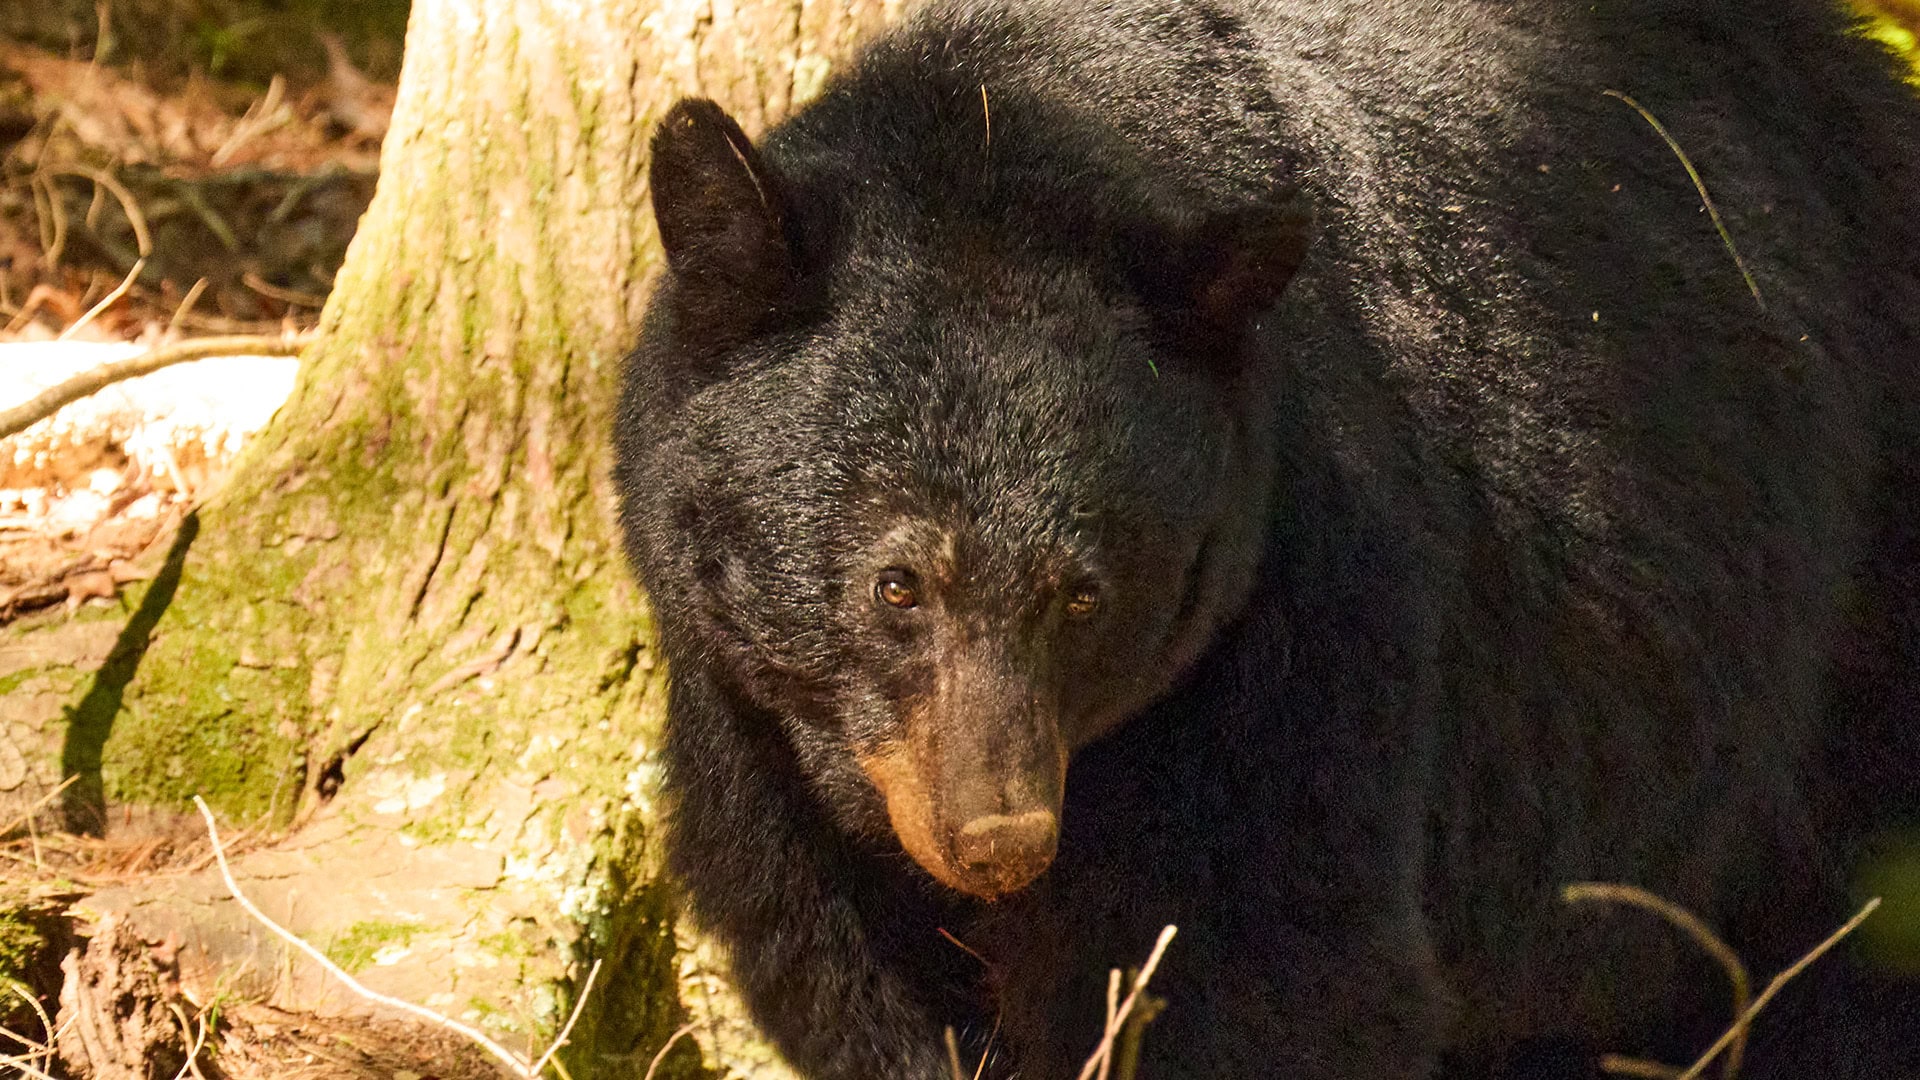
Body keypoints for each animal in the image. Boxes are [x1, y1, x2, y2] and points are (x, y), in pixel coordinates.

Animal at [613, 0, 1920, 1077]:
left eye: (1084, 595)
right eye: (897, 584)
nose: (998, 841)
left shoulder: (1301, 593)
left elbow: (1267, 962)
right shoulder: (754, 733)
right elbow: (839, 972)